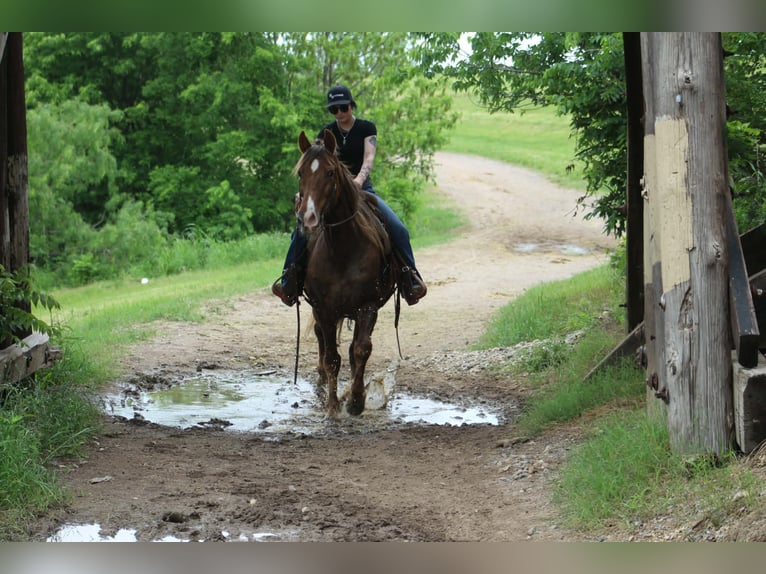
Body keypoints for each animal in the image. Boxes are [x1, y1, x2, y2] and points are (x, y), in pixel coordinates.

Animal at [294, 129, 397, 417]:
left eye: (330, 172)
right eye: (300, 173)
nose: (308, 219)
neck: (342, 249)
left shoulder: (367, 306)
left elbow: (360, 350)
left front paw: (355, 401)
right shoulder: (324, 307)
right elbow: (332, 357)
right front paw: (331, 406)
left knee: (353, 349)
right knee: (322, 339)